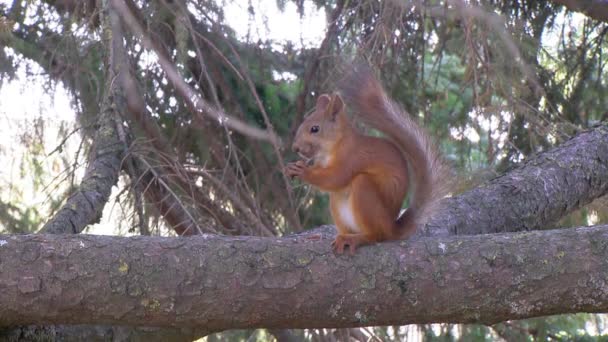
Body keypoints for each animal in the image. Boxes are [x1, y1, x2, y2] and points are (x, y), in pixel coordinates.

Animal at [284, 65, 446, 254]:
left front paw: (303, 171)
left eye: (314, 129)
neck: (333, 147)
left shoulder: (353, 158)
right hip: (337, 203)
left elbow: (336, 177)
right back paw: (344, 236)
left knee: (377, 235)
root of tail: (392, 229)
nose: (295, 148)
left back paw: (358, 239)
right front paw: (292, 167)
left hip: (365, 191)